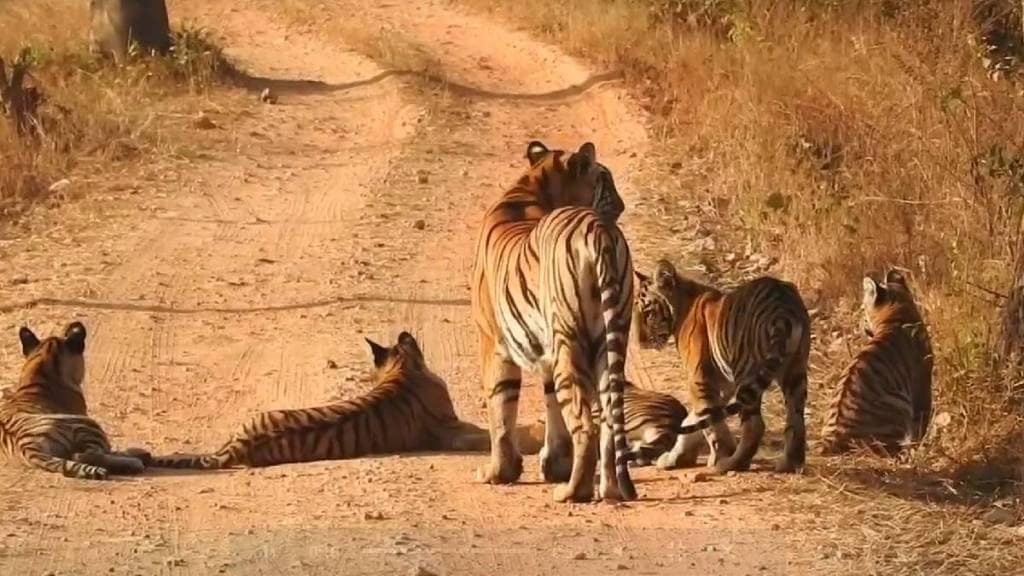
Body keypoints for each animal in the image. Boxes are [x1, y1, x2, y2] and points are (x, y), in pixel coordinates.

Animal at [471, 136, 647, 500]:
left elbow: (500, 409)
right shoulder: (543, 349)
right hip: (610, 342)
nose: (621, 206)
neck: (531, 186)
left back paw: (572, 492)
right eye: (606, 181)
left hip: (570, 340)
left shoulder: (492, 343)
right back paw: (610, 490)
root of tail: (599, 230)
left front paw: (498, 472)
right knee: (609, 419)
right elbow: (550, 403)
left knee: (586, 424)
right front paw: (554, 464)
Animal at [626, 259, 811, 471]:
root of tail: (782, 306)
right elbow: (696, 420)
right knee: (796, 421)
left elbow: (708, 422)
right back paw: (790, 464)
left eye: (648, 313)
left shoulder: (700, 379)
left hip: (746, 372)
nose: (639, 342)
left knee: (754, 425)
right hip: (795, 372)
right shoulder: (722, 385)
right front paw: (676, 458)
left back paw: (732, 464)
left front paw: (719, 456)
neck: (682, 305)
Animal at [815, 268, 937, 453]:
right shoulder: (922, 382)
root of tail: (833, 439)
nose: (860, 324)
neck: (897, 316)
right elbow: (922, 418)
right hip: (899, 403)